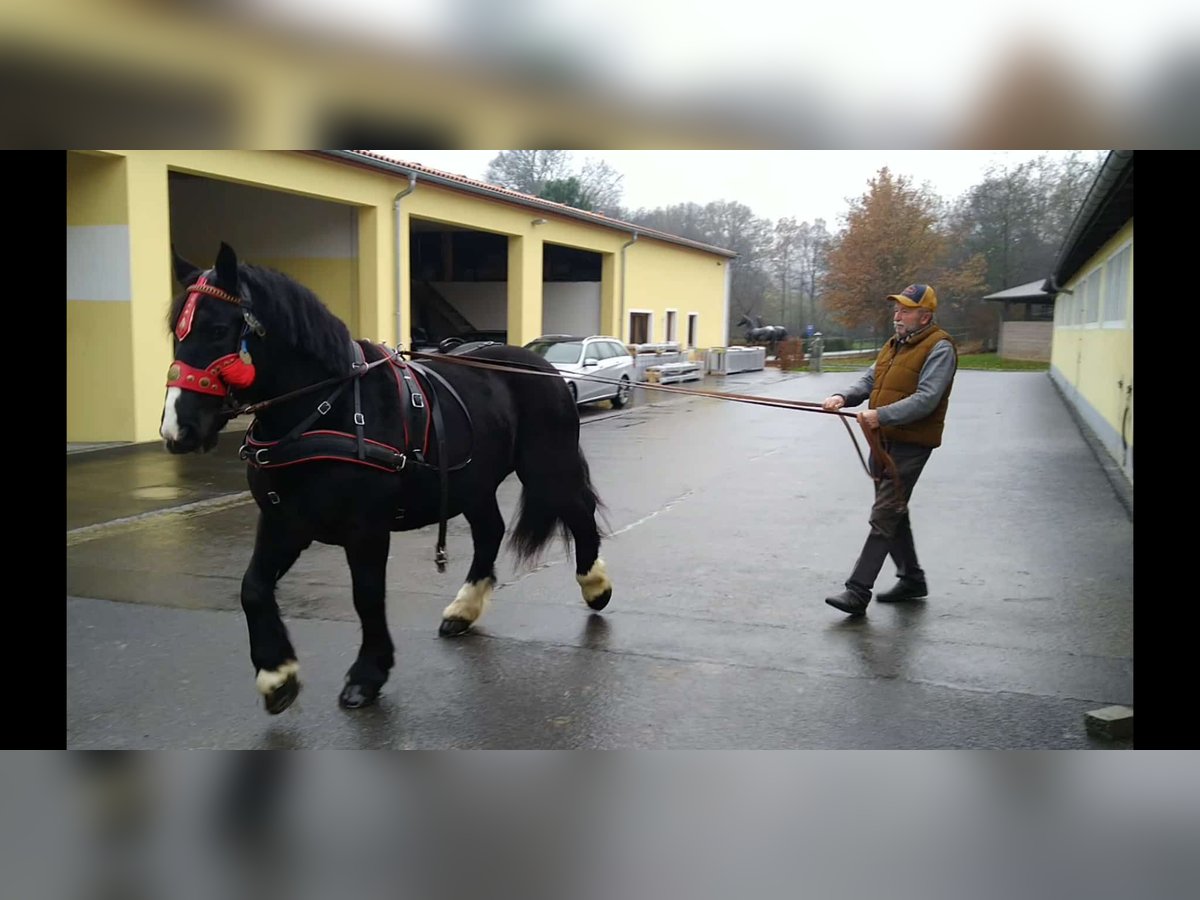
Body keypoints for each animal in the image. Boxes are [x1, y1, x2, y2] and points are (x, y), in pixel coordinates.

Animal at [162, 243, 609, 715]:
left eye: (217, 329)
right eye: (176, 330)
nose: (177, 429)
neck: (328, 408)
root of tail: (542, 366)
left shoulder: (367, 529)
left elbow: (367, 596)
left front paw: (367, 675)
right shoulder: (285, 521)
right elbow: (253, 588)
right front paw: (276, 675)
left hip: (547, 466)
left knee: (578, 512)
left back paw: (595, 585)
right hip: (474, 483)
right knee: (491, 531)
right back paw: (464, 609)